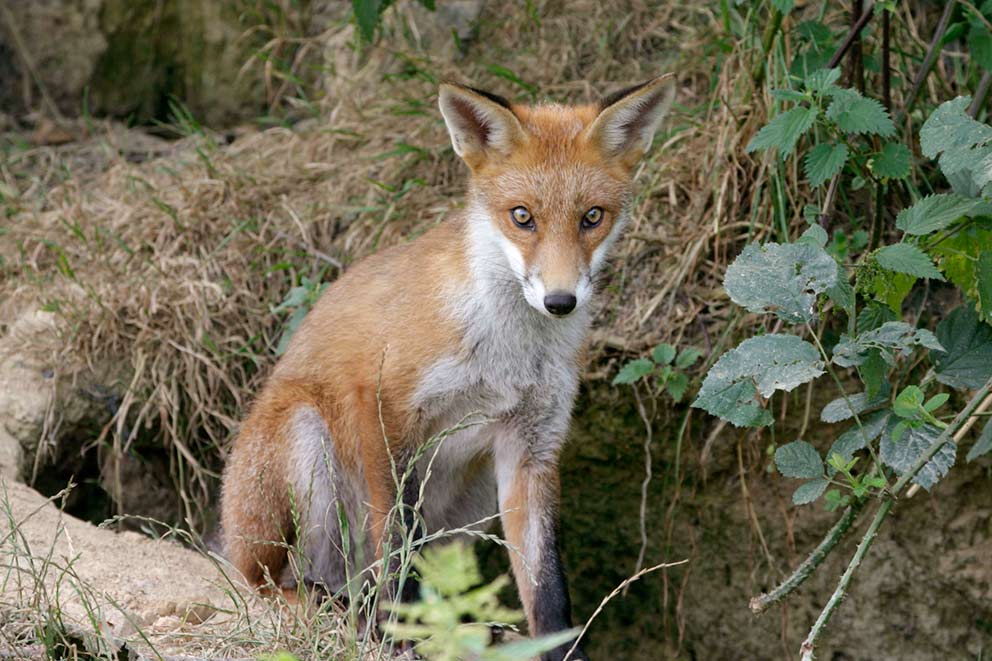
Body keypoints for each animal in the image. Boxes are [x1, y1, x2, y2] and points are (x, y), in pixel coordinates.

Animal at [220, 74, 675, 661]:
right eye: (522, 216)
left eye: (591, 217)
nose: (560, 301)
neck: (505, 352)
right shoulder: (385, 409)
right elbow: (398, 539)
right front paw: (405, 633)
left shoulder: (532, 443)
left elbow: (546, 582)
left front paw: (558, 649)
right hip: (302, 443)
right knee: (272, 585)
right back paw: (339, 608)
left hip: (474, 491)